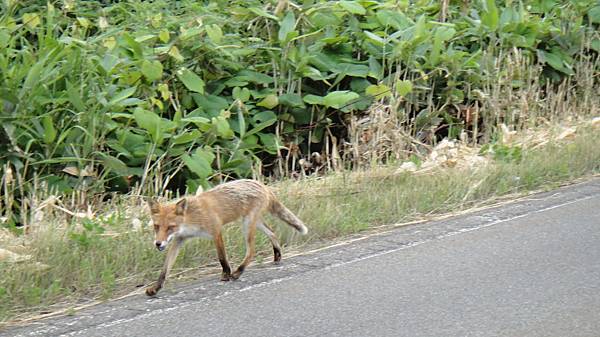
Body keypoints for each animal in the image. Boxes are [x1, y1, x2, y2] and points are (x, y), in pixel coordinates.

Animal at [143, 177, 308, 296]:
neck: (191, 219)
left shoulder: (216, 231)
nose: (158, 243)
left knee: (251, 251)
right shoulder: (179, 240)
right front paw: (156, 288)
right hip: (255, 222)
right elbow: (165, 270)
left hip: (247, 225)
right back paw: (277, 255)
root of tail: (261, 184)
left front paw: (226, 274)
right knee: (272, 232)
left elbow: (222, 257)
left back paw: (238, 272)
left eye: (170, 227)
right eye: (156, 227)